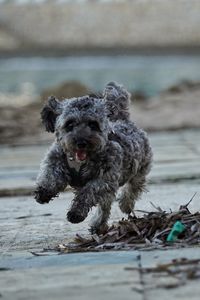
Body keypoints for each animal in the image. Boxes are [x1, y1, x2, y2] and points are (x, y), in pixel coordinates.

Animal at [34, 82, 152, 234]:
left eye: (93, 124)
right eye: (70, 124)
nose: (81, 142)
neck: (79, 162)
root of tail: (123, 120)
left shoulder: (105, 180)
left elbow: (88, 192)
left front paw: (76, 213)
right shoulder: (54, 160)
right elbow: (51, 175)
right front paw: (44, 192)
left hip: (139, 171)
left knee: (131, 190)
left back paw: (124, 205)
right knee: (106, 206)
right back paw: (99, 225)